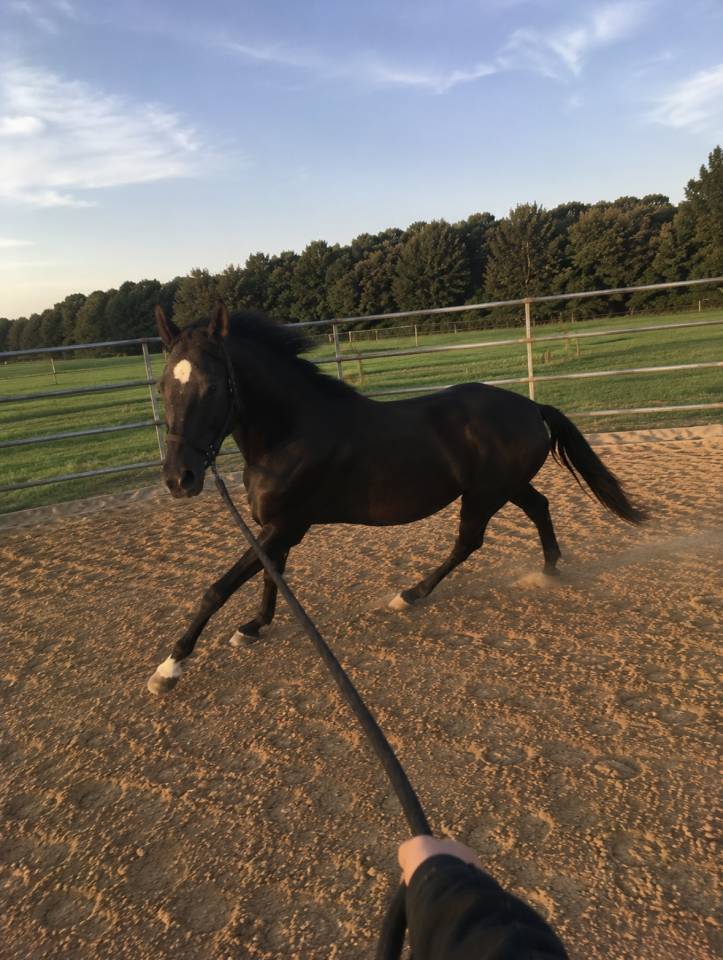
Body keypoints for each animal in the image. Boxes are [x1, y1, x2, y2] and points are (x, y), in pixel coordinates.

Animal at [147, 304, 645, 695]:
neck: (290, 433)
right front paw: (253, 628)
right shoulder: (278, 528)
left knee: (468, 542)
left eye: (213, 386)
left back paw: (410, 594)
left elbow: (218, 588)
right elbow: (273, 577)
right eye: (163, 386)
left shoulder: (287, 524)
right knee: (539, 507)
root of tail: (530, 406)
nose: (178, 479)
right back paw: (548, 569)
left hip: (484, 495)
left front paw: (170, 667)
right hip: (507, 487)